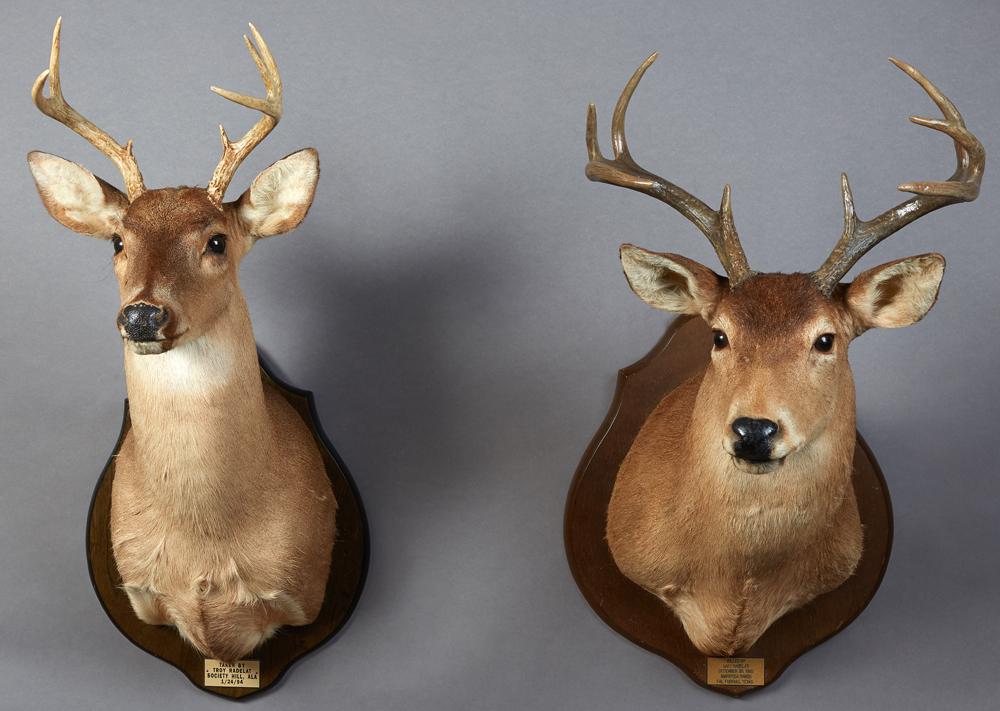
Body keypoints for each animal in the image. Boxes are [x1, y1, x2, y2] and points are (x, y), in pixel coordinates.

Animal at [27, 19, 335, 662]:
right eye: (117, 241)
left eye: (217, 240)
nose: (143, 316)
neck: (208, 542)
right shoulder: (140, 593)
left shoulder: (306, 592)